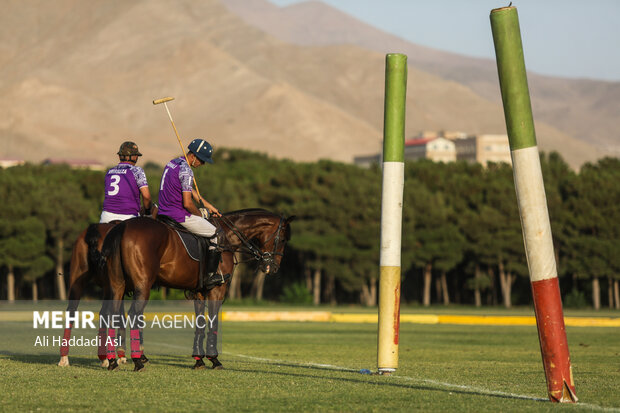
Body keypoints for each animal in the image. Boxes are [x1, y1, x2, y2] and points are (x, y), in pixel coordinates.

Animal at [101, 208, 296, 372]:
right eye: (283, 239)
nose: (272, 268)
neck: (228, 238)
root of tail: (122, 227)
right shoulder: (217, 289)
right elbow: (213, 322)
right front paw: (214, 359)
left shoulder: (199, 292)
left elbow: (200, 323)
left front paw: (199, 360)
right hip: (143, 285)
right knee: (133, 315)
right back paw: (137, 361)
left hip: (117, 285)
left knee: (110, 314)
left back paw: (112, 361)